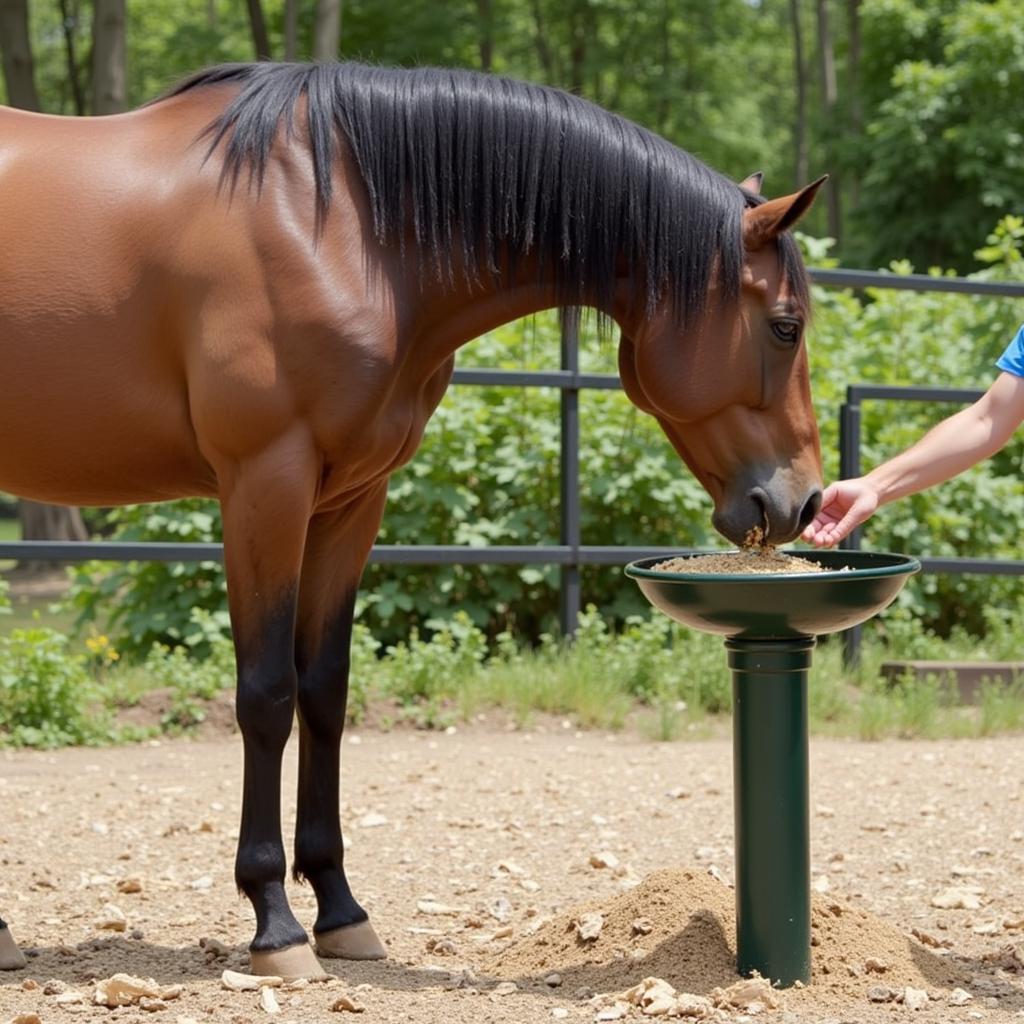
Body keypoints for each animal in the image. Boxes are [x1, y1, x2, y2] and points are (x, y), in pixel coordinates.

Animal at [0, 61, 823, 974]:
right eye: (784, 326)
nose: (803, 500)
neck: (337, 223)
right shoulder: (265, 485)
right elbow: (267, 695)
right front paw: (275, 922)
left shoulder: (350, 500)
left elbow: (325, 690)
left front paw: (339, 910)